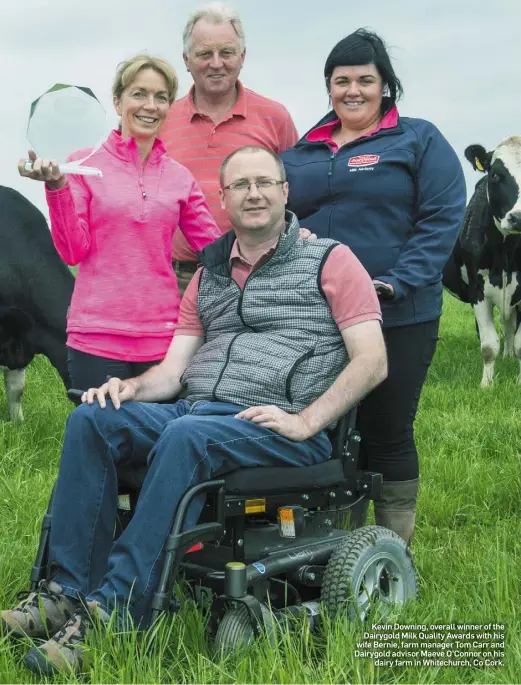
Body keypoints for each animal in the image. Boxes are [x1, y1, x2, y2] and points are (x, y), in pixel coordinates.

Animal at [440, 136, 520, 388]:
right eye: (495, 174)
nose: (518, 217)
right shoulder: (478, 290)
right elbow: (488, 345)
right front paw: (486, 385)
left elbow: (520, 343)